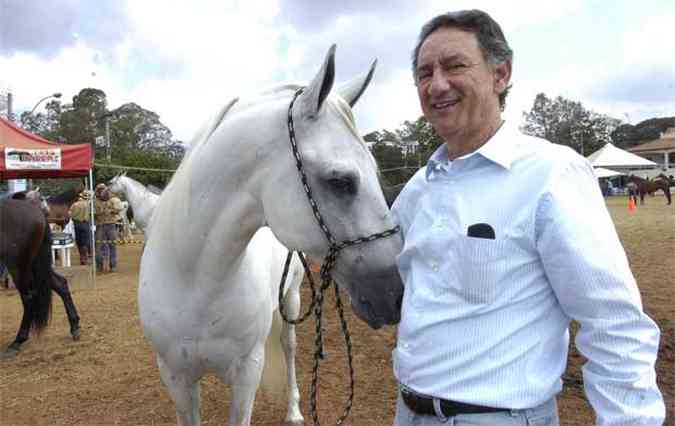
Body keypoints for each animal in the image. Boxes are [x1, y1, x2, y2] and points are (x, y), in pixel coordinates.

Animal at [0, 195, 81, 358]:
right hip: (35, 265)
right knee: (60, 284)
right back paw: (74, 326)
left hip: (19, 265)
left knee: (28, 297)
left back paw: (18, 341)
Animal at [137, 46, 402, 426]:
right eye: (340, 181)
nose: (395, 294)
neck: (194, 278)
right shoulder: (176, 377)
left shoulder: (248, 371)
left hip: (291, 301)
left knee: (289, 348)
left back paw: (293, 411)